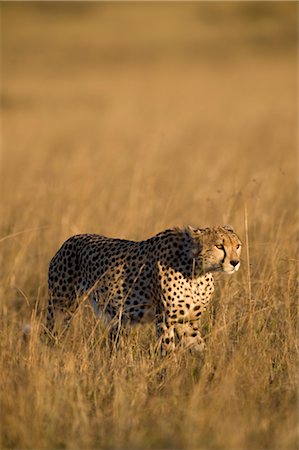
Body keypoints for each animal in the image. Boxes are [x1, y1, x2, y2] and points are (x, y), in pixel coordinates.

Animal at [47, 225, 244, 356]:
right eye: (219, 246)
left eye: (237, 246)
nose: (235, 262)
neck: (197, 272)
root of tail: (69, 240)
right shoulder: (164, 321)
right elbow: (168, 353)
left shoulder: (187, 322)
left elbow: (200, 349)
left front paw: (209, 373)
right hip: (61, 309)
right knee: (50, 334)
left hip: (118, 321)